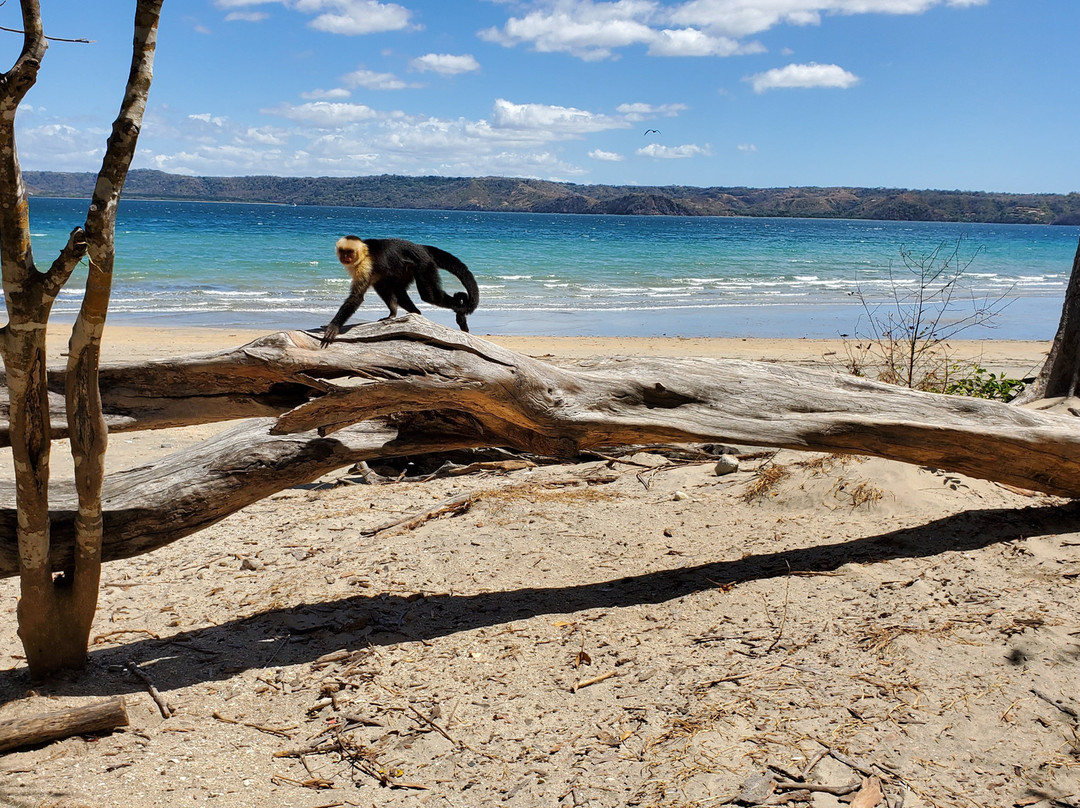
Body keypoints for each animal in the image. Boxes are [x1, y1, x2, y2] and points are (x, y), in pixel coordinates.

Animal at [319, 235, 481, 345]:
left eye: (350, 252)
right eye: (342, 251)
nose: (345, 258)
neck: (364, 254)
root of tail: (420, 247)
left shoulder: (365, 265)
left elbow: (356, 297)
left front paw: (334, 326)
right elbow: (378, 285)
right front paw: (393, 312)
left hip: (424, 265)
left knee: (429, 296)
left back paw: (460, 313)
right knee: (396, 289)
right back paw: (408, 313)